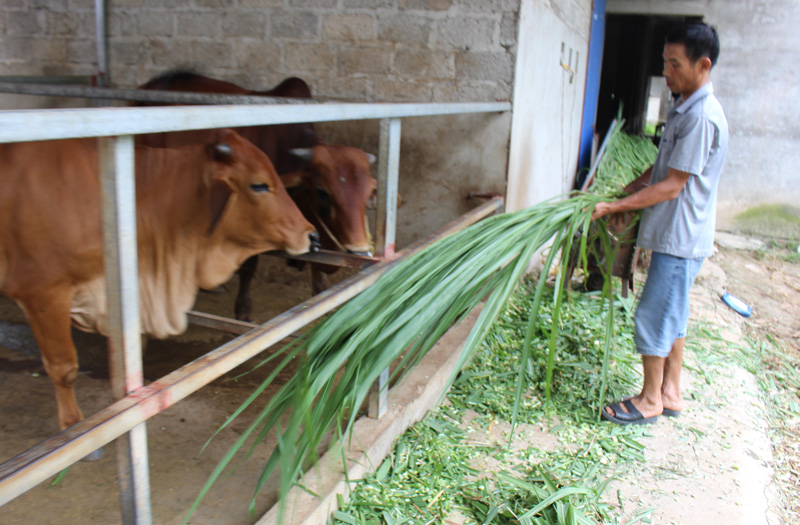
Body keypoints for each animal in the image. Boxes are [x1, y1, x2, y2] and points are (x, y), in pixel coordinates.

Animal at [138, 71, 378, 318]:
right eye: (322, 192)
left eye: (371, 191)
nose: (359, 250)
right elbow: (248, 267)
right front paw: (243, 311)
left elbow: (319, 276)